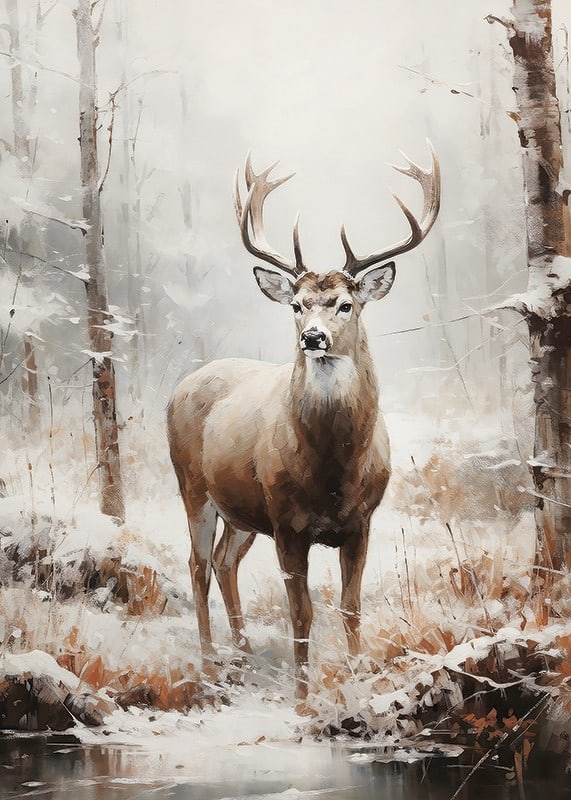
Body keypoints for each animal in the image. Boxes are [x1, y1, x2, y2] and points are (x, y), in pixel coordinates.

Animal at [167, 144, 440, 700]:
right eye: (296, 304)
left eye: (346, 303)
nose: (312, 337)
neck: (333, 472)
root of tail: (181, 387)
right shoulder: (288, 522)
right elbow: (302, 614)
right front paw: (302, 697)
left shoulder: (360, 522)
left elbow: (350, 607)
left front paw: (358, 680)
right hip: (193, 487)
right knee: (198, 565)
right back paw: (209, 662)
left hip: (241, 511)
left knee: (225, 561)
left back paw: (244, 651)